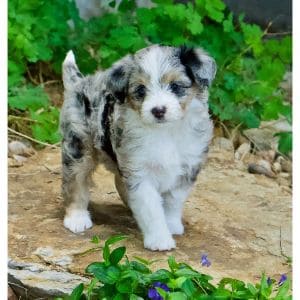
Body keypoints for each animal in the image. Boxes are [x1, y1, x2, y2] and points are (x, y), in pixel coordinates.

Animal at [60, 45, 216, 251]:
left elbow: (173, 202)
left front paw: (171, 225)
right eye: (141, 89)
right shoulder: (140, 172)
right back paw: (76, 218)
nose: (158, 110)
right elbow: (151, 208)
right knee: (75, 182)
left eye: (175, 86)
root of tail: (80, 82)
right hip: (79, 146)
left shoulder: (186, 168)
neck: (165, 131)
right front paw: (159, 239)